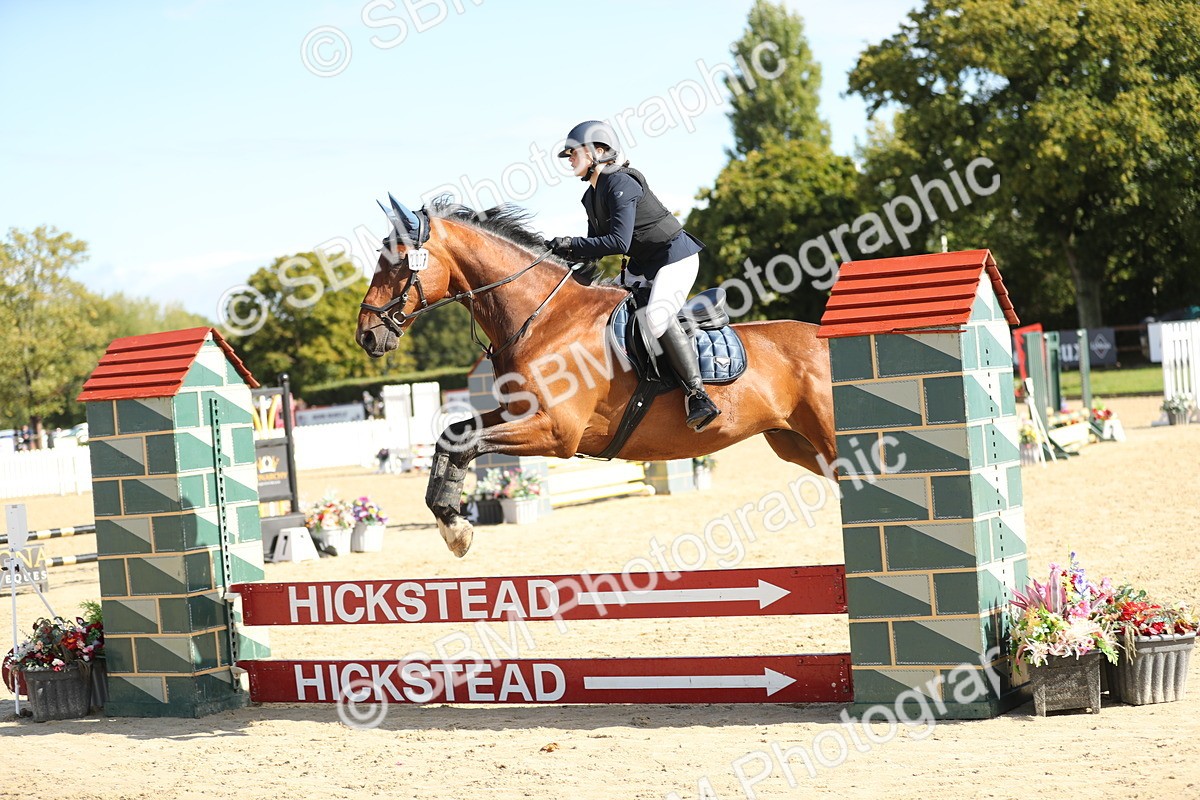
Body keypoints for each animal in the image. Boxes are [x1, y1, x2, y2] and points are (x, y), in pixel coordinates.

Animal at [356, 198, 836, 557]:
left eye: (398, 264)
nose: (367, 335)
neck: (541, 318)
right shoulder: (516, 413)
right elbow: (452, 437)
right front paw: (451, 521)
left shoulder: (556, 432)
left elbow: (467, 444)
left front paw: (456, 528)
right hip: (797, 445)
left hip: (827, 439)